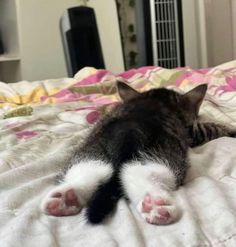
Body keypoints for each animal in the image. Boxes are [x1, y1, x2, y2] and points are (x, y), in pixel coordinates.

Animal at [40, 81, 234, 226]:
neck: (155, 100)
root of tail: (129, 131)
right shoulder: (191, 132)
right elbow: (211, 128)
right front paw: (231, 129)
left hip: (91, 149)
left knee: (88, 169)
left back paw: (67, 198)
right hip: (166, 155)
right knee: (143, 174)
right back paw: (155, 204)